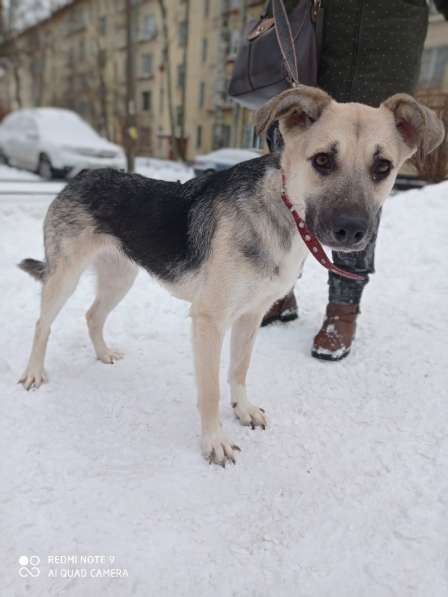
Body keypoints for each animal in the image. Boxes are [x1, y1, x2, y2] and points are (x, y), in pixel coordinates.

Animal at [18, 85, 444, 466]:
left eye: (383, 168)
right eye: (322, 160)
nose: (352, 232)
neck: (282, 210)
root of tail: (80, 175)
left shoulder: (251, 315)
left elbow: (239, 368)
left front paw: (243, 410)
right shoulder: (209, 320)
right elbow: (209, 391)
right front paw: (214, 442)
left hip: (120, 277)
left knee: (92, 315)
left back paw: (103, 354)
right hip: (66, 276)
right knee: (42, 323)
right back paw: (34, 373)